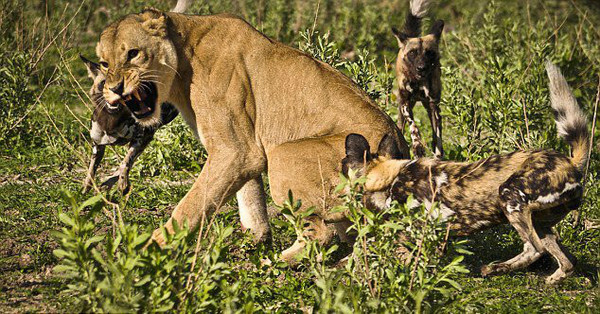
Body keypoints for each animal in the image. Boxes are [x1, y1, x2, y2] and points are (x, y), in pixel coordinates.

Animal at [81, 55, 178, 194]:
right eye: (103, 83)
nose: (116, 90)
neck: (111, 121)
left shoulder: (142, 138)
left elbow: (126, 162)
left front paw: (122, 184)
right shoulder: (97, 146)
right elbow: (91, 171)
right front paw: (86, 189)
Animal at [342, 62, 592, 284]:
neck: (390, 180)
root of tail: (569, 162)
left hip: (510, 195)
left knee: (535, 249)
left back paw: (495, 268)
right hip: (541, 224)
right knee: (568, 261)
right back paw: (549, 278)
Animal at [394, 0, 446, 158]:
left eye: (429, 53)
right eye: (412, 53)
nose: (421, 68)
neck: (417, 82)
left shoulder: (433, 106)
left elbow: (437, 137)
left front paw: (437, 156)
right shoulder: (405, 103)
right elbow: (414, 126)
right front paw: (417, 145)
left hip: (431, 108)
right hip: (403, 108)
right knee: (400, 128)